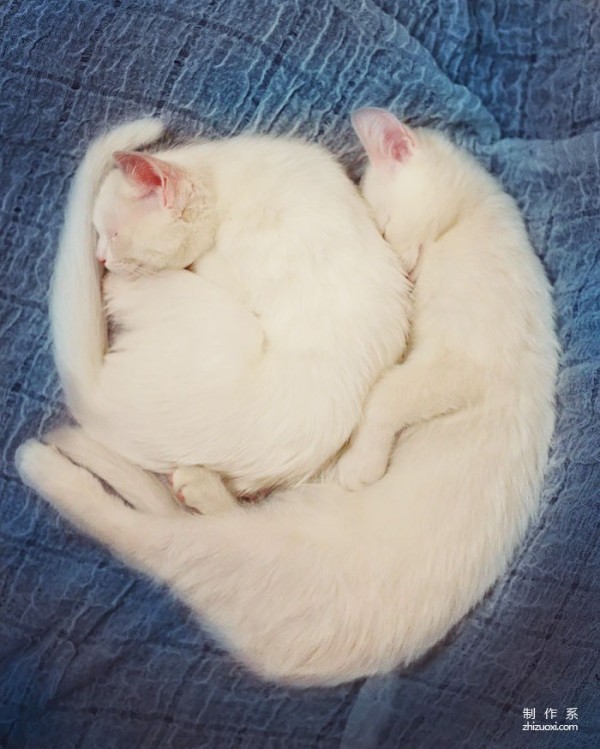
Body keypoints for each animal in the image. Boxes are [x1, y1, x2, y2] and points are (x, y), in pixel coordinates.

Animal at [15, 108, 556, 688]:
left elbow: (392, 393)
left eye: (113, 234)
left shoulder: (462, 360)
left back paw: (44, 460)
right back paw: (192, 485)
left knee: (138, 523)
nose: (99, 258)